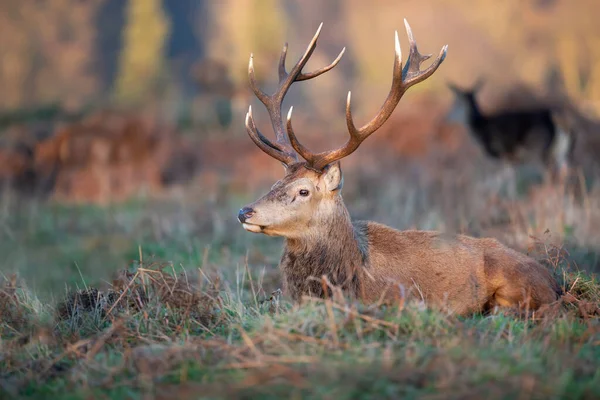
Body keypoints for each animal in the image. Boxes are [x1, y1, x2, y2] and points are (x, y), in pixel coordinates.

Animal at [237, 21, 560, 316]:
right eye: (275, 184)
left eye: (303, 191)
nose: (244, 211)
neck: (348, 276)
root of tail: (554, 281)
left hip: (517, 282)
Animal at [446, 81, 576, 183]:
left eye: (455, 103)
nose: (446, 117)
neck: (481, 129)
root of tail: (559, 121)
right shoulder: (511, 159)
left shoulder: (504, 154)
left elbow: (507, 181)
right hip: (560, 152)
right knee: (565, 172)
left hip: (539, 151)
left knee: (548, 175)